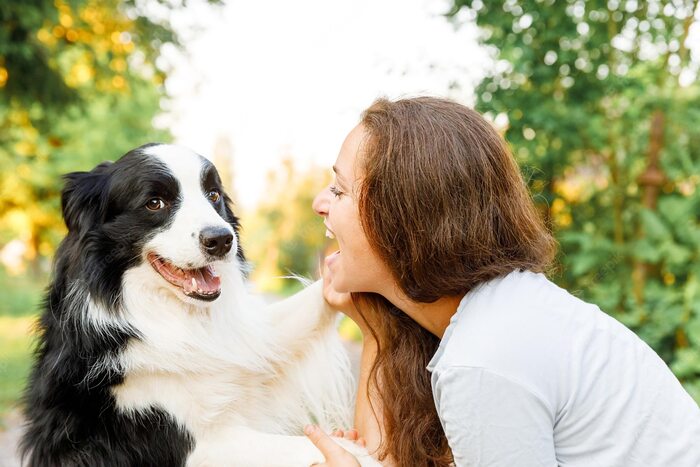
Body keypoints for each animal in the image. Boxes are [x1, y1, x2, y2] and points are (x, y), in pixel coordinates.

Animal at [19, 144, 378, 466]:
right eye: (154, 203)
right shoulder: (189, 443)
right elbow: (305, 446)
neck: (175, 316)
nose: (221, 240)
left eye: (214, 195)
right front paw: (362, 454)